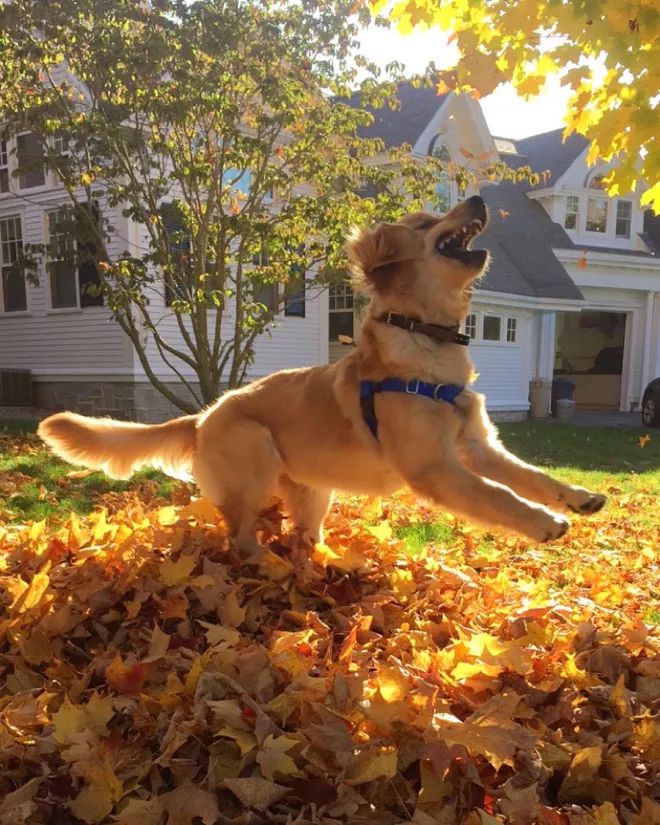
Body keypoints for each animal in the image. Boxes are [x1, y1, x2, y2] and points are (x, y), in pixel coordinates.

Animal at [34, 194, 604, 556]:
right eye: (424, 224)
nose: (480, 199)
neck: (426, 342)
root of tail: (201, 416)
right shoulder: (435, 468)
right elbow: (499, 495)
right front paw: (545, 523)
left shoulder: (479, 447)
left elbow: (532, 476)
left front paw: (578, 497)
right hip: (254, 463)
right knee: (241, 540)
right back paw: (265, 568)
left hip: (313, 494)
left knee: (301, 538)